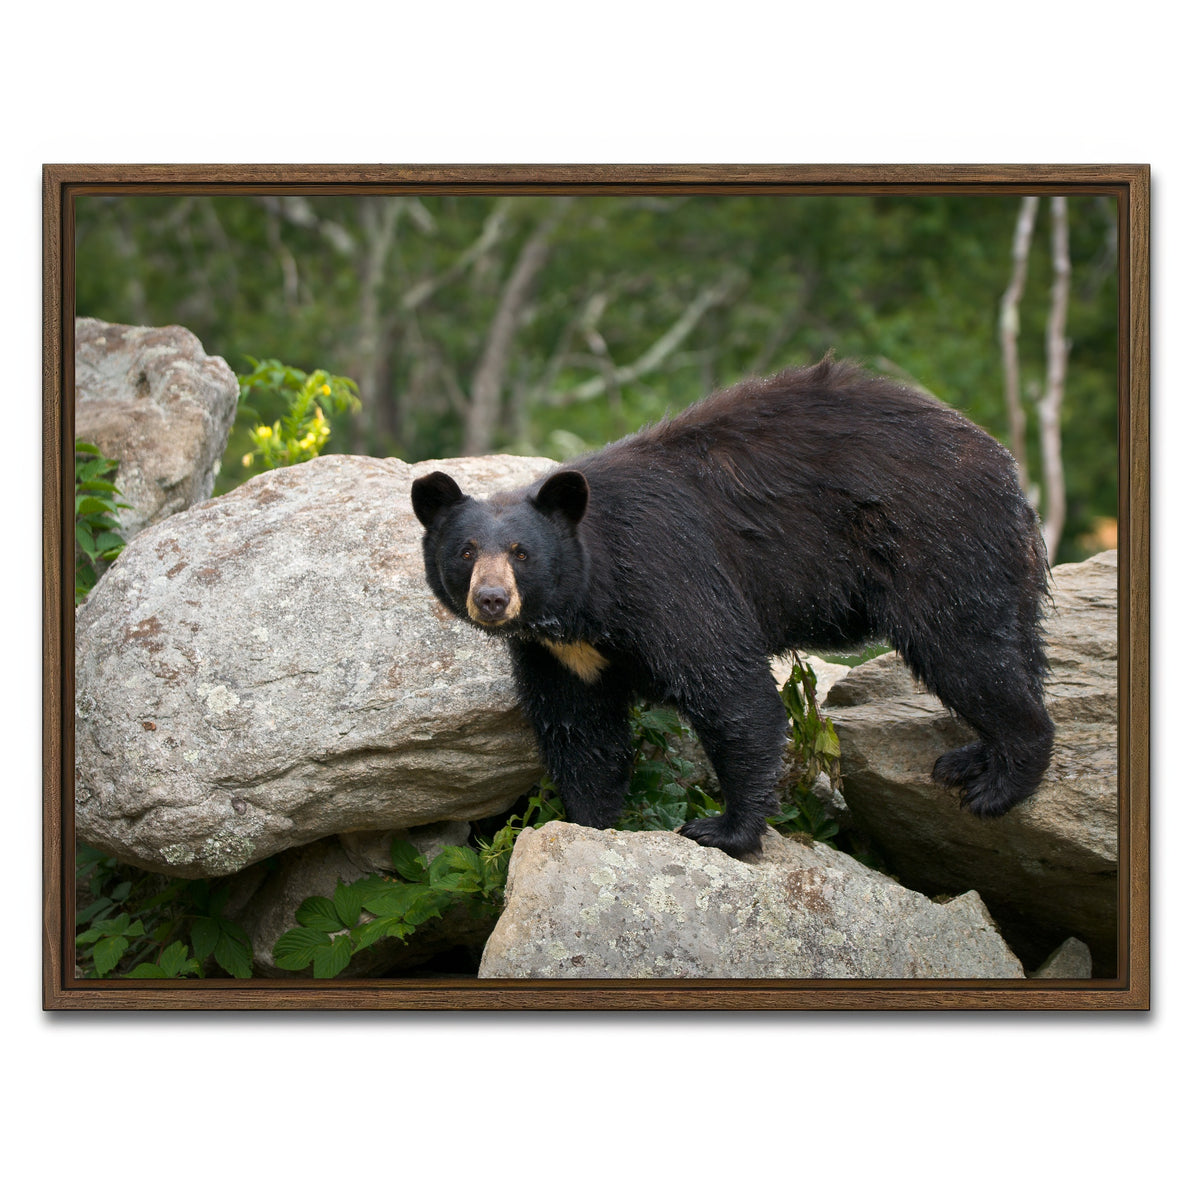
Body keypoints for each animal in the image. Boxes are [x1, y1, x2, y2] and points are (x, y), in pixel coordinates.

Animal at [411, 357, 1054, 857]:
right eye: (466, 551)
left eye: (521, 553)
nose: (492, 599)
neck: (587, 603)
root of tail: (1005, 467)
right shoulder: (559, 653)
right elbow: (581, 732)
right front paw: (589, 823)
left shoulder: (666, 575)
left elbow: (730, 691)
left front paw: (724, 829)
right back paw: (972, 758)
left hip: (937, 543)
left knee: (965, 651)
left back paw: (999, 782)